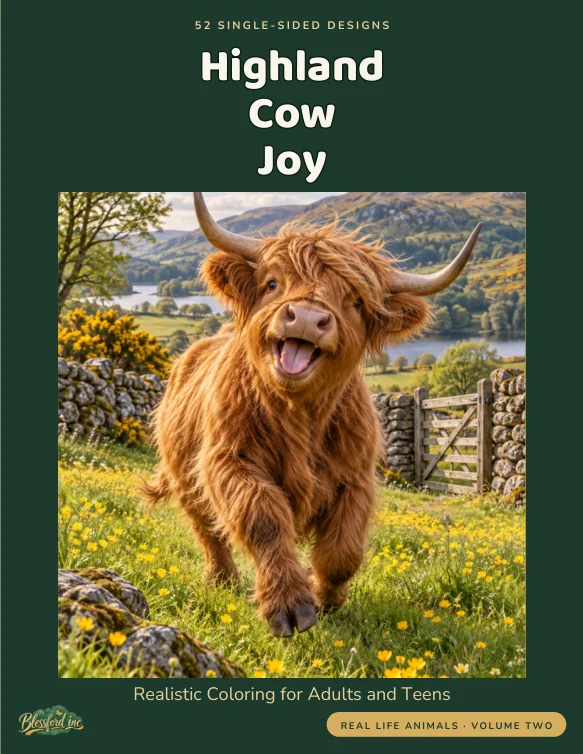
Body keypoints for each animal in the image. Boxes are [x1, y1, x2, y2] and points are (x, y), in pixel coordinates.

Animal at [144, 192, 482, 637]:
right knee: (207, 530)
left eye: (355, 301)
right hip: (185, 476)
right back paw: (221, 580)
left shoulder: (355, 476)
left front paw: (327, 600)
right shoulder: (228, 459)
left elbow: (343, 550)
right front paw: (289, 605)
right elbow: (264, 518)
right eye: (273, 283)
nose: (305, 317)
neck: (301, 416)